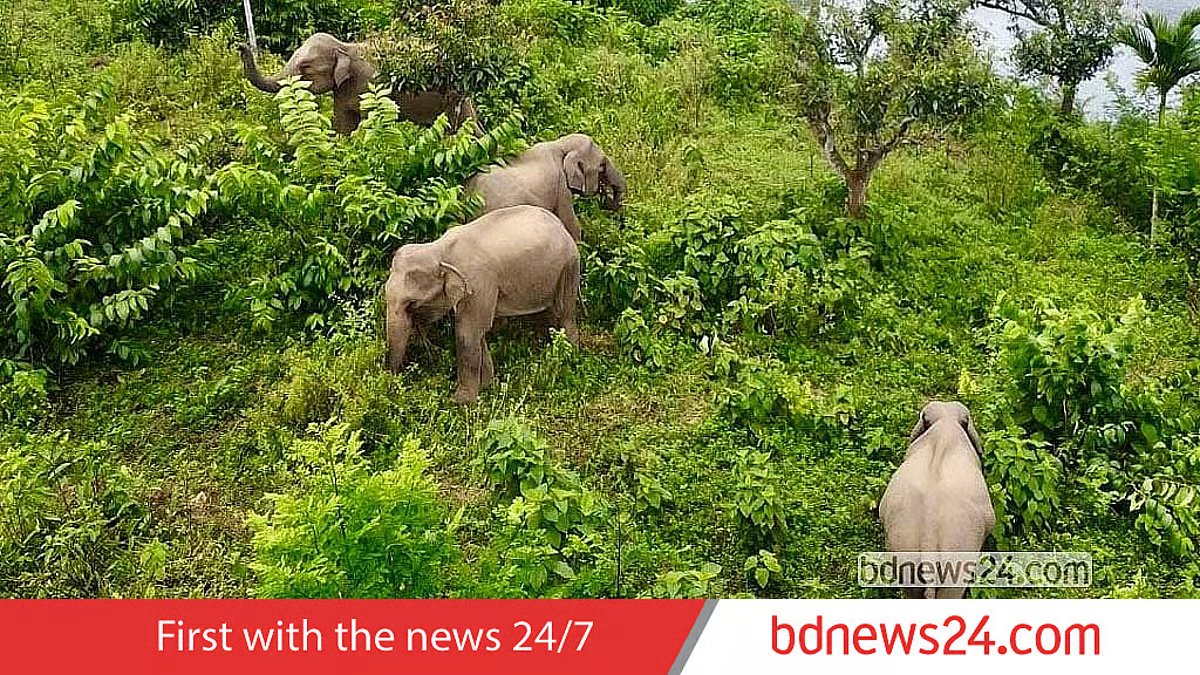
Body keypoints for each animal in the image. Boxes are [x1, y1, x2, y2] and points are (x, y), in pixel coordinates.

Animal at [238, 33, 480, 136]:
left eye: (306, 67)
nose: (240, 45)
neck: (345, 46)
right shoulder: (341, 90)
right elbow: (343, 122)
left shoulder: (372, 82)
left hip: (452, 95)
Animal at [385, 205, 580, 404]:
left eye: (411, 304)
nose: (395, 381)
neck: (440, 250)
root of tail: (560, 225)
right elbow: (477, 332)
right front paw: (486, 386)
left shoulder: (477, 282)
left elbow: (467, 332)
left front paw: (460, 402)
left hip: (569, 265)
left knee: (564, 312)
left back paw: (569, 359)